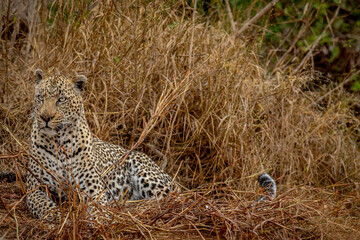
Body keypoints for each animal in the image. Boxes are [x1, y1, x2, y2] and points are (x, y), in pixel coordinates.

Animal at [26, 68, 278, 220]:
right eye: (40, 97)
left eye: (61, 99)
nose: (45, 117)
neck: (58, 142)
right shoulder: (34, 187)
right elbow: (42, 203)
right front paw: (55, 216)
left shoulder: (94, 190)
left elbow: (98, 206)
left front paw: (97, 219)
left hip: (147, 174)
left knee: (170, 199)